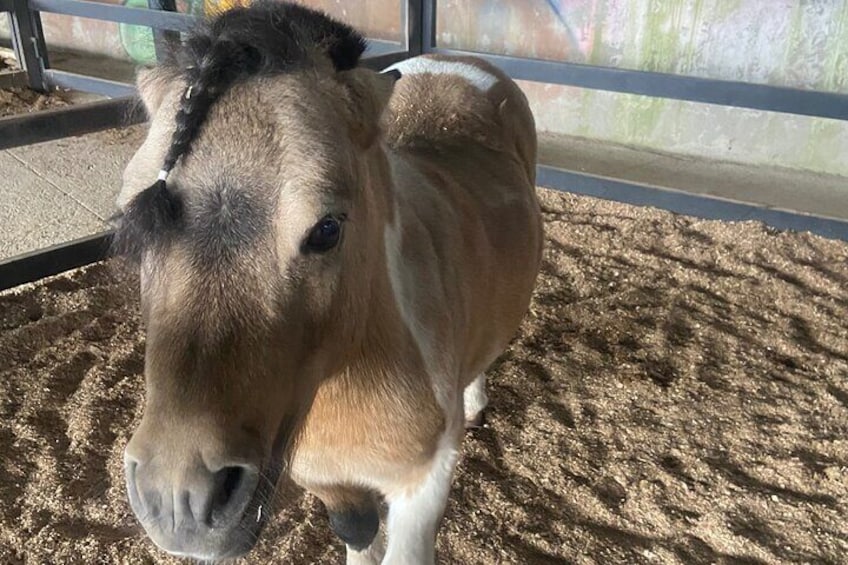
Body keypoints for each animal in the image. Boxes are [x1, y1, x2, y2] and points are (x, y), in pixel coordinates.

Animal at [114, 2, 544, 560]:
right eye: (132, 217)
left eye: (327, 229)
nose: (179, 500)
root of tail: (455, 61)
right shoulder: (321, 474)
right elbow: (356, 530)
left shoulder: (423, 484)